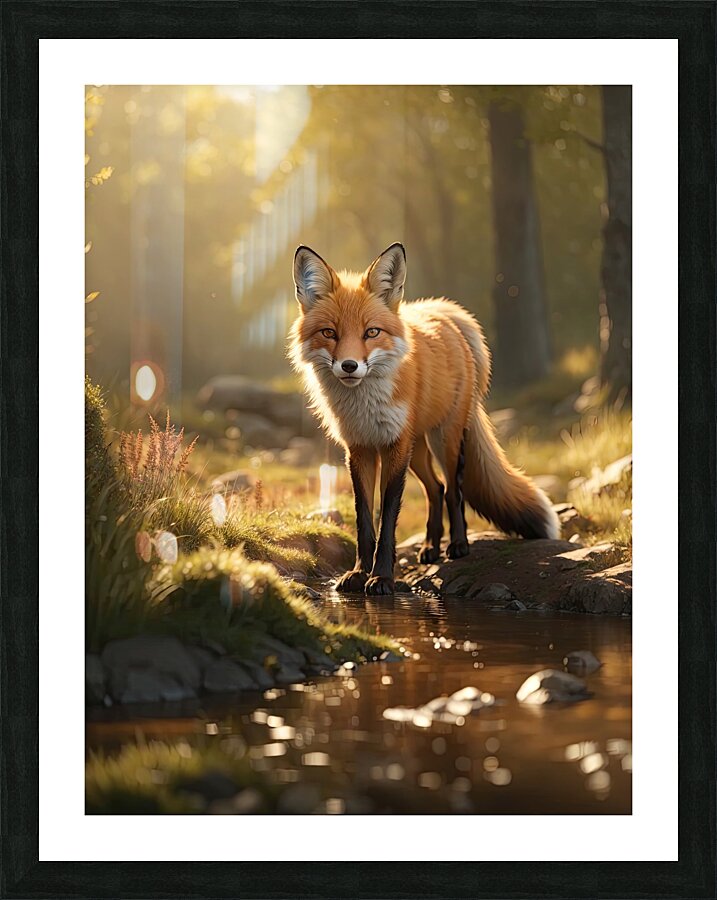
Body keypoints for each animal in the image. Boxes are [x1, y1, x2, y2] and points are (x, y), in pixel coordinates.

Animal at [288, 242, 560, 596]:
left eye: (371, 332)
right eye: (329, 333)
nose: (349, 366)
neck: (364, 406)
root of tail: (443, 312)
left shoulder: (394, 446)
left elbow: (388, 520)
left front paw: (382, 578)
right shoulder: (360, 449)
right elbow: (365, 520)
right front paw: (359, 573)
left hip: (443, 440)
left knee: (454, 491)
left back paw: (457, 545)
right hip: (417, 451)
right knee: (436, 488)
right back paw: (431, 546)